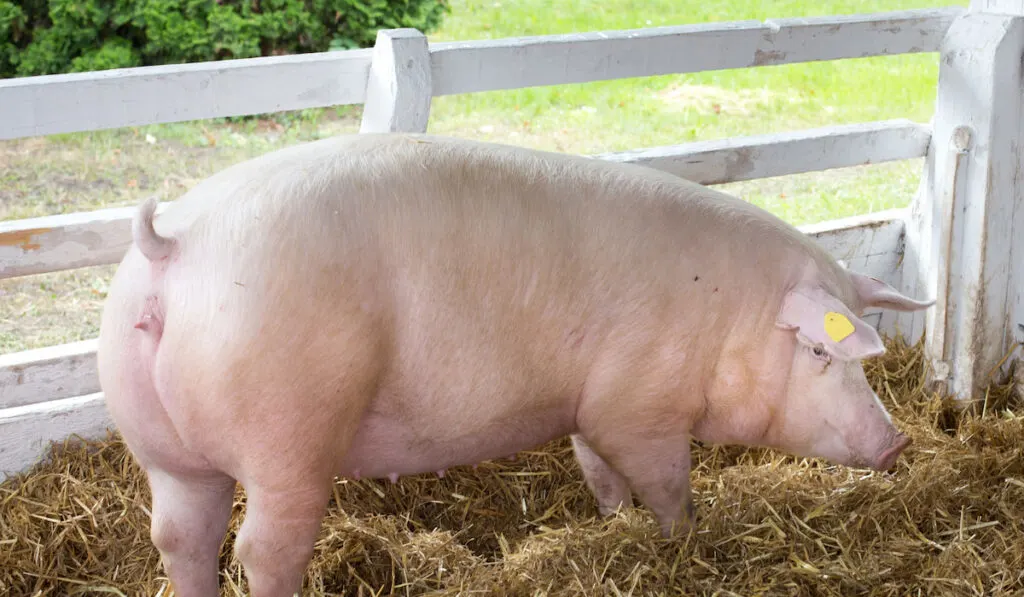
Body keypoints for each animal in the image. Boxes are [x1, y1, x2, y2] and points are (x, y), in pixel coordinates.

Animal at [97, 134, 937, 597]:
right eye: (822, 349)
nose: (898, 441)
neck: (726, 314)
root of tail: (173, 244)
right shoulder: (640, 408)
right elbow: (669, 486)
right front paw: (679, 543)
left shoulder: (590, 406)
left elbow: (599, 473)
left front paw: (614, 523)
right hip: (287, 431)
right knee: (260, 549)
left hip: (162, 446)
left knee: (180, 539)